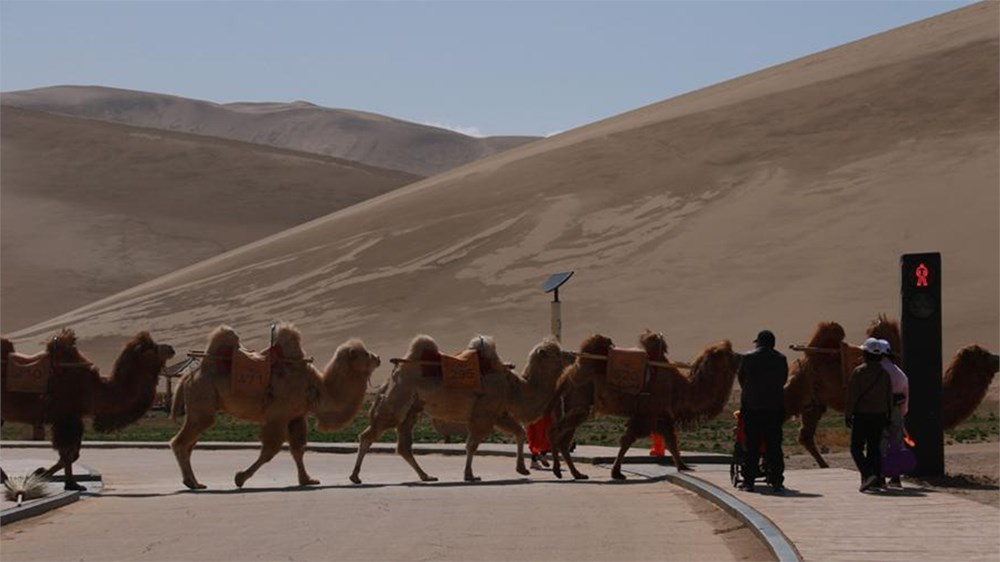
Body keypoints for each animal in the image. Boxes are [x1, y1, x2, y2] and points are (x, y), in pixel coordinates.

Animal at [0, 328, 174, 486]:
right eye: (152, 348)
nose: (171, 348)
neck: (94, 388)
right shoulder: (67, 417)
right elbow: (68, 453)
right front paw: (71, 484)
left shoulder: (74, 418)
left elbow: (72, 455)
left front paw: (40, 473)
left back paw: (5, 477)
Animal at [172, 322, 378, 488]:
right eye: (366, 354)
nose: (378, 357)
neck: (316, 387)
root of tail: (188, 376)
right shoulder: (278, 415)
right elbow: (270, 450)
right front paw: (240, 478)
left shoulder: (296, 416)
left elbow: (298, 449)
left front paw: (307, 480)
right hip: (202, 401)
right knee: (181, 442)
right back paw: (192, 482)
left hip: (200, 407)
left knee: (189, 444)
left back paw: (194, 482)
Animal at [350, 332, 572, 482]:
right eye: (555, 353)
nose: (572, 355)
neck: (513, 386)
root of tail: (394, 372)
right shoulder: (485, 412)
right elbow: (472, 444)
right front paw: (470, 475)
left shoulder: (498, 412)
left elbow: (519, 433)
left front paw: (522, 469)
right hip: (397, 402)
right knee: (368, 435)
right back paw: (355, 477)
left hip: (412, 408)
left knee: (403, 446)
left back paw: (426, 476)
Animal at [548, 330, 744, 480]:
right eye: (729, 353)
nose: (741, 356)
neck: (679, 387)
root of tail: (566, 375)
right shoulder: (646, 413)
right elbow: (627, 440)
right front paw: (616, 472)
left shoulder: (660, 415)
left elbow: (672, 441)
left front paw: (684, 466)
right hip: (579, 400)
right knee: (556, 432)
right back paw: (558, 470)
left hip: (577, 406)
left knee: (564, 439)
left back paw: (577, 474)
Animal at [784, 312, 996, 466]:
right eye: (984, 355)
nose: (998, 358)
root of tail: (800, 359)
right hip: (797, 391)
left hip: (813, 403)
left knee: (805, 435)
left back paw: (824, 466)